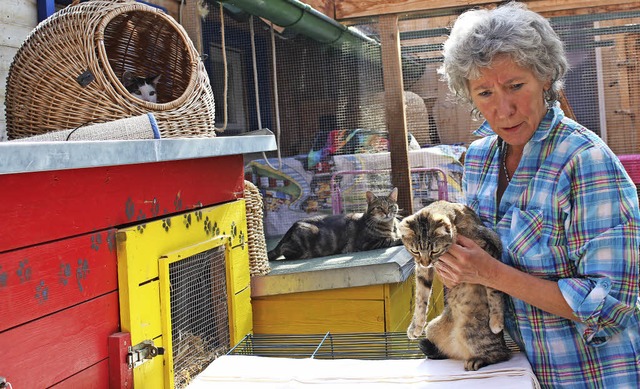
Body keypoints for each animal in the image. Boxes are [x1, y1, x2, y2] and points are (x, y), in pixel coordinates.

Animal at [268, 186, 402, 260]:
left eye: (390, 206)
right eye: (379, 208)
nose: (386, 213)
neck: (390, 226)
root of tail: (291, 228)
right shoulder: (368, 243)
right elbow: (390, 240)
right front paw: (399, 239)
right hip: (309, 233)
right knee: (285, 251)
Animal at [400, 200, 510, 370]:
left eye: (434, 251)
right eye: (415, 251)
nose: (425, 262)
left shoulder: (490, 248)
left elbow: (493, 289)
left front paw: (496, 321)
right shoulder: (422, 271)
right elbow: (421, 298)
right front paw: (415, 326)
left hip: (470, 333)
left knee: (502, 354)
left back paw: (477, 360)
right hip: (432, 328)